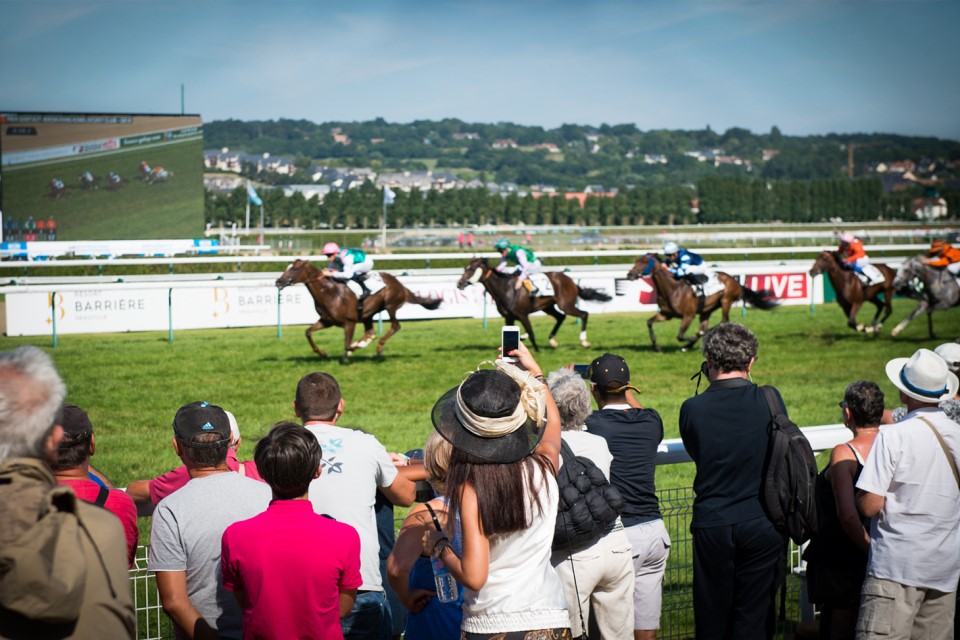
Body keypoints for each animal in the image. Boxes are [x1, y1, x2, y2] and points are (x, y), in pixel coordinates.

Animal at [276, 260, 444, 360]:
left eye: (295, 269)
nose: (278, 282)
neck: (330, 293)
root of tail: (399, 283)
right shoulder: (326, 321)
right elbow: (308, 332)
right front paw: (323, 353)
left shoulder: (349, 322)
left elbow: (347, 345)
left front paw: (354, 349)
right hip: (368, 314)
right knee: (371, 331)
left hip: (390, 305)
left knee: (395, 326)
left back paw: (379, 348)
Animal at [456, 258, 608, 352]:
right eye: (465, 268)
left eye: (471, 269)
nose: (459, 283)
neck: (505, 289)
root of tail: (570, 280)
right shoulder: (508, 317)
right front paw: (520, 340)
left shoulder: (522, 314)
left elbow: (531, 332)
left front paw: (536, 349)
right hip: (548, 306)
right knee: (560, 317)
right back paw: (552, 341)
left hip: (566, 304)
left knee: (583, 314)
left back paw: (584, 341)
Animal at [628, 254, 776, 352]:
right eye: (636, 260)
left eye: (644, 261)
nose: (629, 274)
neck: (672, 289)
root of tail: (735, 281)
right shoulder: (666, 314)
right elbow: (649, 322)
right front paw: (656, 346)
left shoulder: (688, 315)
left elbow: (680, 336)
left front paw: (689, 341)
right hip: (707, 310)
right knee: (706, 326)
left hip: (726, 301)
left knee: (723, 321)